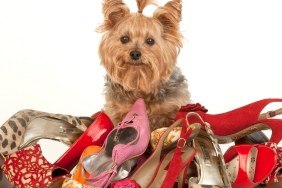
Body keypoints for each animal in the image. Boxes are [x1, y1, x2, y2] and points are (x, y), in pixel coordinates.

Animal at [97, 0, 189, 130]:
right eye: (124, 38)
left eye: (150, 41)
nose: (135, 53)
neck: (139, 81)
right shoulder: (116, 110)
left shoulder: (173, 108)